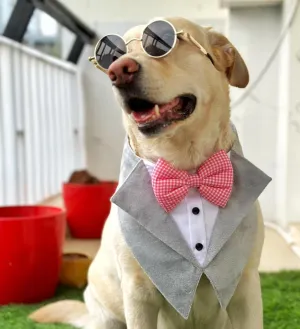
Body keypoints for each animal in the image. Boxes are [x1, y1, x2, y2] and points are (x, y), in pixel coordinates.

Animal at [31, 17, 272, 328]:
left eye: (164, 40)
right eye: (112, 55)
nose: (119, 71)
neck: (185, 170)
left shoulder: (244, 288)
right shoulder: (139, 294)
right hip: (106, 314)